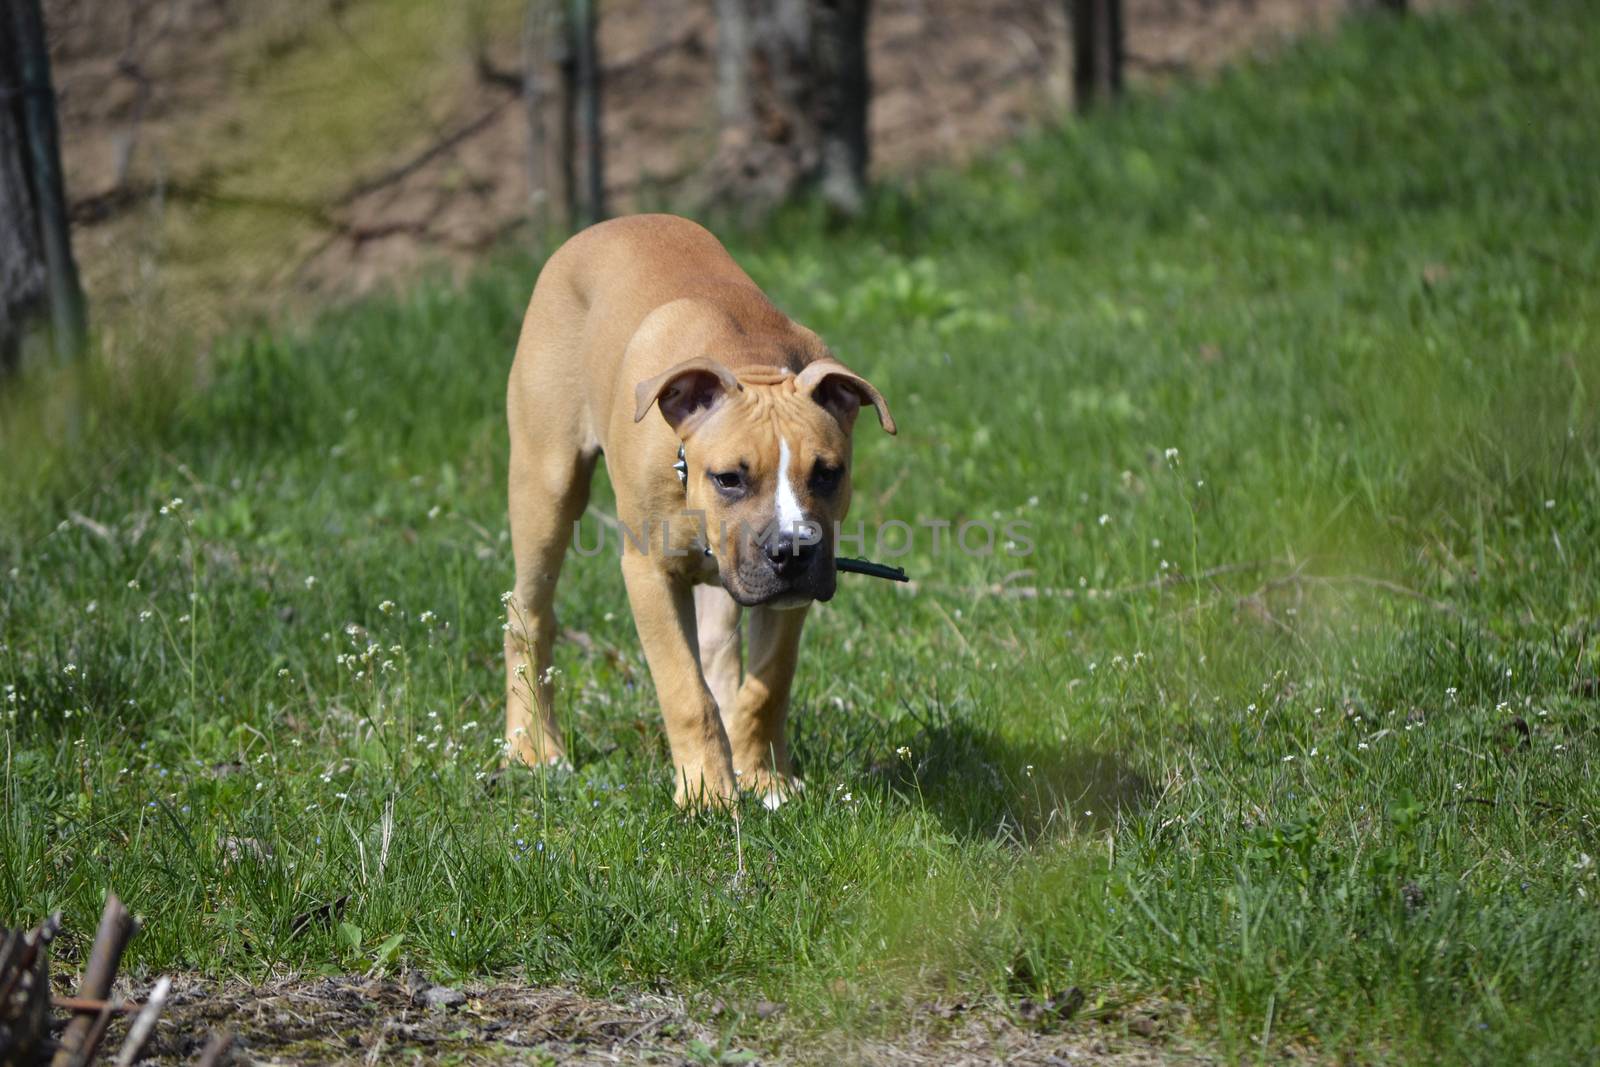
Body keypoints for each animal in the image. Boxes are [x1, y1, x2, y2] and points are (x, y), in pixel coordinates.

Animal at [505, 214, 896, 809]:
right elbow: (686, 689)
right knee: (529, 616)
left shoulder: (789, 597)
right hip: (545, 484)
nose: (791, 550)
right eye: (729, 478)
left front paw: (763, 778)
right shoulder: (648, 574)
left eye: (827, 474)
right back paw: (532, 748)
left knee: (718, 651)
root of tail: (603, 226)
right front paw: (708, 793)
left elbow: (766, 684)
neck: (750, 363)